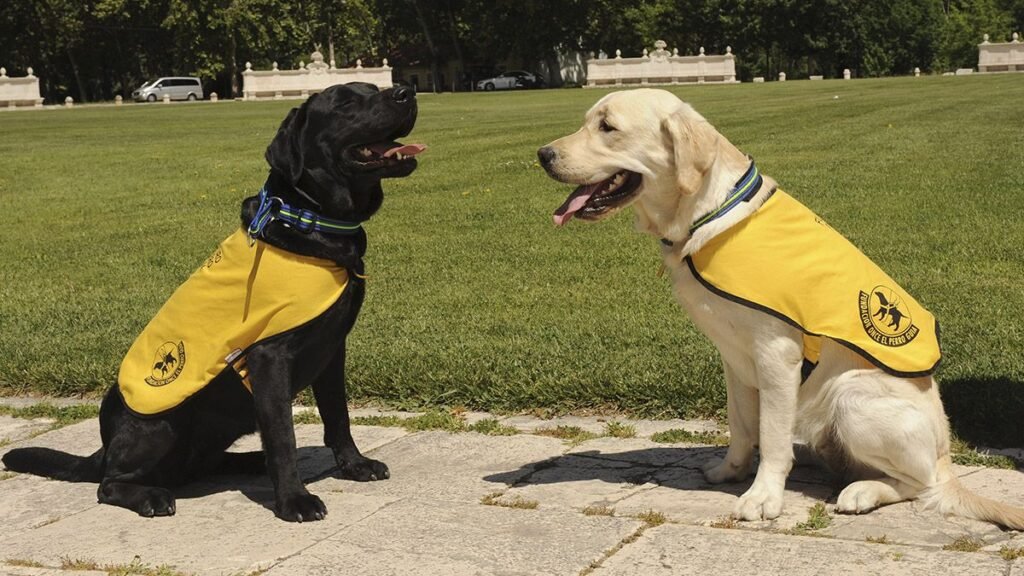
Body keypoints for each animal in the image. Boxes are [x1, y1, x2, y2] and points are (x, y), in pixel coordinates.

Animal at [2, 81, 421, 520]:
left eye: (373, 89)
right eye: (345, 103)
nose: (406, 91)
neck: (310, 218)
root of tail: (104, 445)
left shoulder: (332, 349)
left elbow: (338, 417)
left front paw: (355, 465)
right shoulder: (269, 358)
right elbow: (283, 435)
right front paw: (294, 500)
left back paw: (251, 461)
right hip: (161, 425)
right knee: (109, 484)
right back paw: (150, 496)